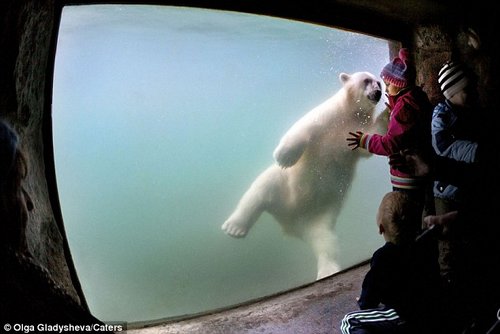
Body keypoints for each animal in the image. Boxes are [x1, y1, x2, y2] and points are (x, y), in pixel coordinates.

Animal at [222, 71, 382, 280]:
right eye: (366, 80)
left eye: (379, 82)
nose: (379, 92)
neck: (349, 114)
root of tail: (290, 224)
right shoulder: (328, 115)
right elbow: (303, 127)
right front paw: (284, 157)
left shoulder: (359, 125)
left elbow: (367, 145)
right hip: (282, 186)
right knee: (260, 189)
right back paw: (235, 227)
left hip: (321, 215)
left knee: (326, 241)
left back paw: (327, 270)